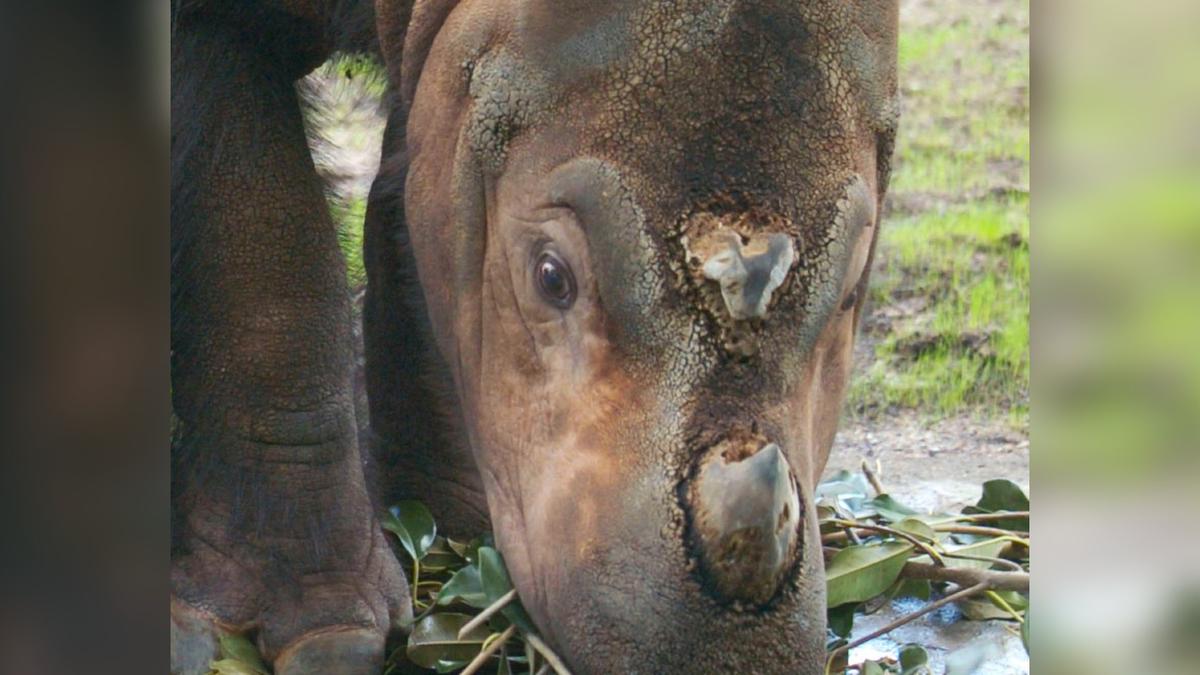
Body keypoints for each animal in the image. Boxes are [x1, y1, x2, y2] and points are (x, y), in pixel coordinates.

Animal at [170, 1, 898, 673]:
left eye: (852, 293)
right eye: (551, 277)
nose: (725, 658)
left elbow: (415, 227)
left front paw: (453, 530)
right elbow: (263, 250)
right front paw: (332, 641)